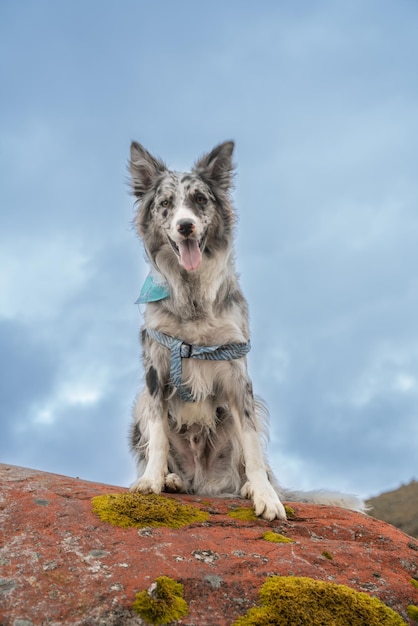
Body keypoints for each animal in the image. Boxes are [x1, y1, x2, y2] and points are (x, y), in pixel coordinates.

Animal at [126, 140, 362, 516]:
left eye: (200, 200)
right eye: (165, 204)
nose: (185, 226)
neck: (193, 297)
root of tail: (203, 481)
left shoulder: (237, 373)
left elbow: (250, 444)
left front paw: (266, 497)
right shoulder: (157, 368)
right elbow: (158, 435)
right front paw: (152, 480)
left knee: (246, 466)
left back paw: (251, 486)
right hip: (139, 404)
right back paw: (171, 479)